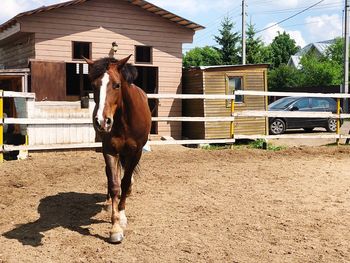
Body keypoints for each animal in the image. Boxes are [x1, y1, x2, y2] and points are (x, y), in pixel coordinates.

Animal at [85, 55, 151, 243]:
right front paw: (115, 227)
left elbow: (126, 181)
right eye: (94, 85)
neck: (124, 120)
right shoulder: (109, 150)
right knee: (109, 175)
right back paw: (108, 201)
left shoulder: (136, 152)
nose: (102, 121)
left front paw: (121, 216)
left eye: (116, 85)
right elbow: (115, 185)